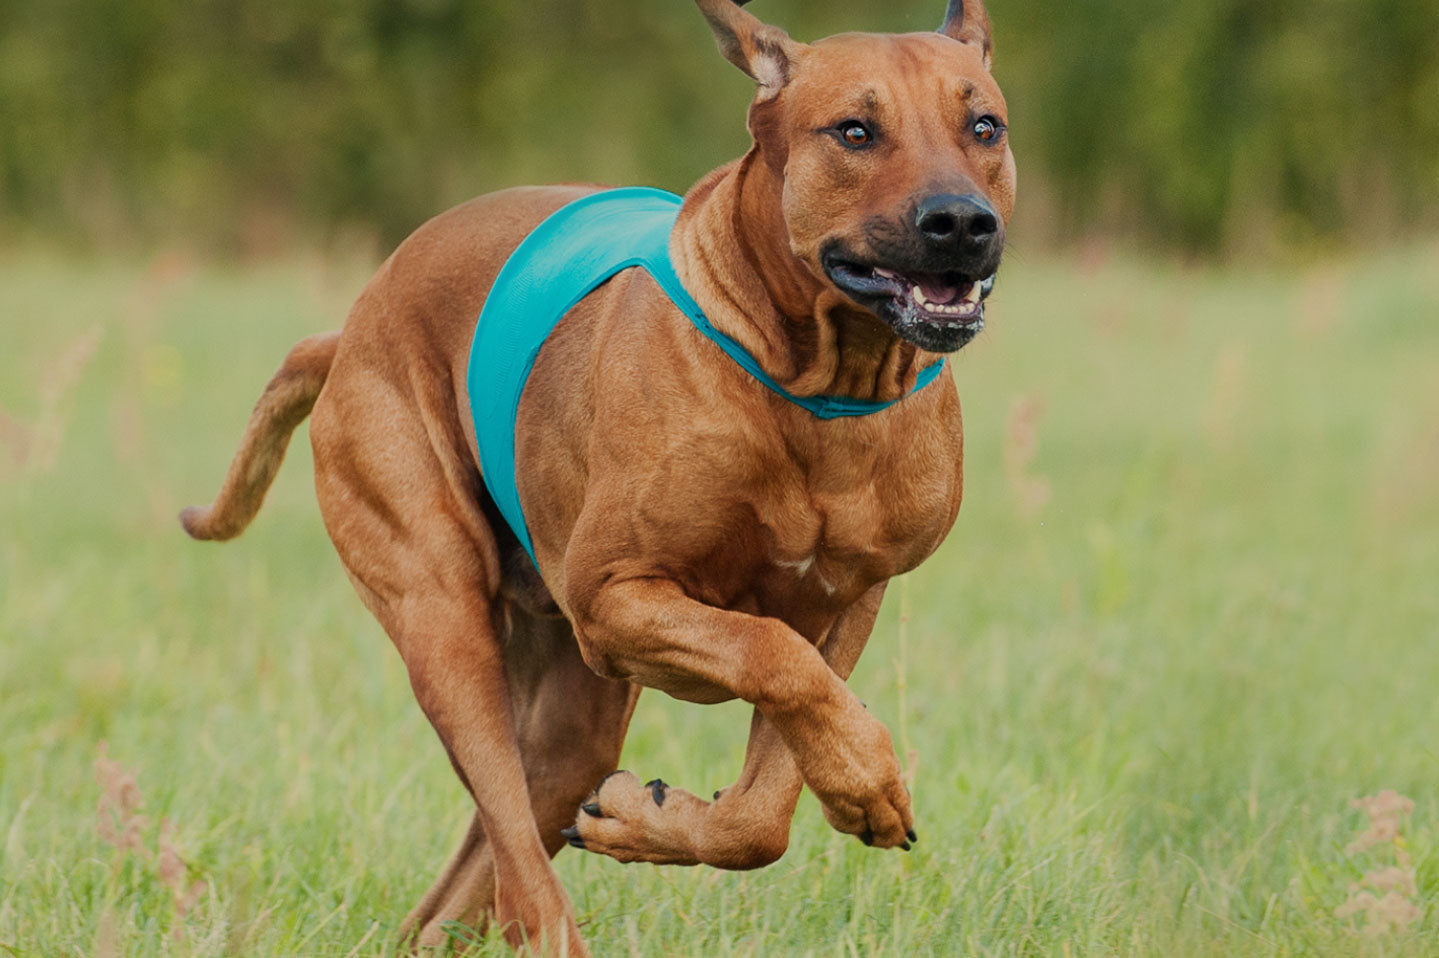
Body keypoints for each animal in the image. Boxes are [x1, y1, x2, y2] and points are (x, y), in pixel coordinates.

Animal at [182, 0, 1013, 949]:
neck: (816, 381)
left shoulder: (849, 599)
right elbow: (767, 649)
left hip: (567, 722)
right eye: (854, 131)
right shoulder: (612, 599)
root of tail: (350, 328)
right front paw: (869, 775)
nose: (961, 222)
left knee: (470, 883)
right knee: (516, 863)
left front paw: (695, 813)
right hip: (441, 614)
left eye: (983, 126)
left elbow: (763, 805)